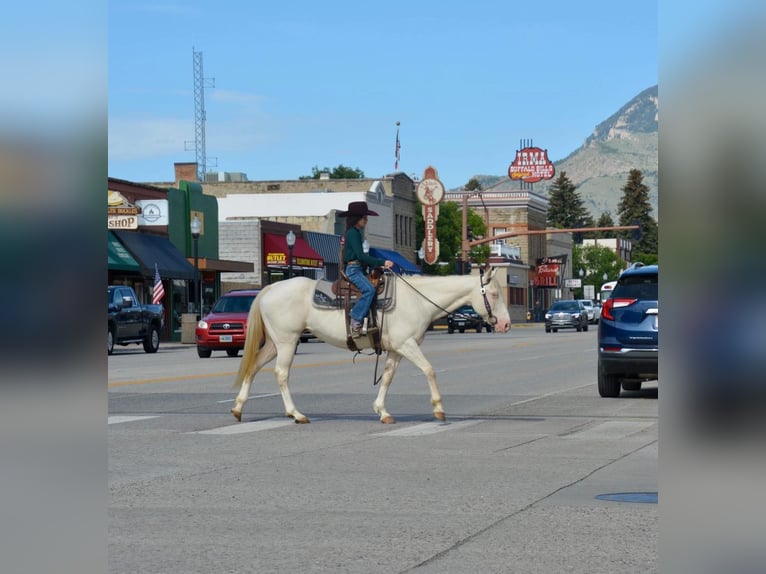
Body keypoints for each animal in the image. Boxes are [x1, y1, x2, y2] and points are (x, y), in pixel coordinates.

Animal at [231, 268, 512, 424]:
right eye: (494, 295)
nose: (506, 324)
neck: (417, 300)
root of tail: (270, 287)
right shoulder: (407, 344)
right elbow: (429, 370)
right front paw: (439, 409)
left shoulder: (396, 349)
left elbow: (387, 378)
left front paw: (382, 411)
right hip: (287, 341)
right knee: (281, 374)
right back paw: (295, 413)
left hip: (275, 344)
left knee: (253, 367)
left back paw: (237, 408)